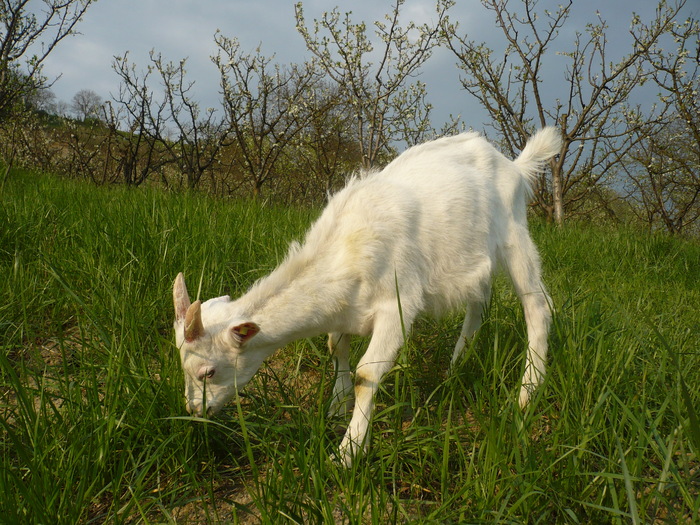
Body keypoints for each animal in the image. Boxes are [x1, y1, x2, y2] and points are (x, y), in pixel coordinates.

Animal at [172, 126, 560, 462]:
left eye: (207, 372)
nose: (194, 409)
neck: (346, 248)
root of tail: (513, 165)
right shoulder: (341, 310)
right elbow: (336, 349)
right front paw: (335, 407)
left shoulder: (397, 307)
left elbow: (367, 375)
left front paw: (349, 452)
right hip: (472, 260)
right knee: (478, 304)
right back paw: (456, 368)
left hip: (514, 235)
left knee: (538, 307)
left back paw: (527, 393)